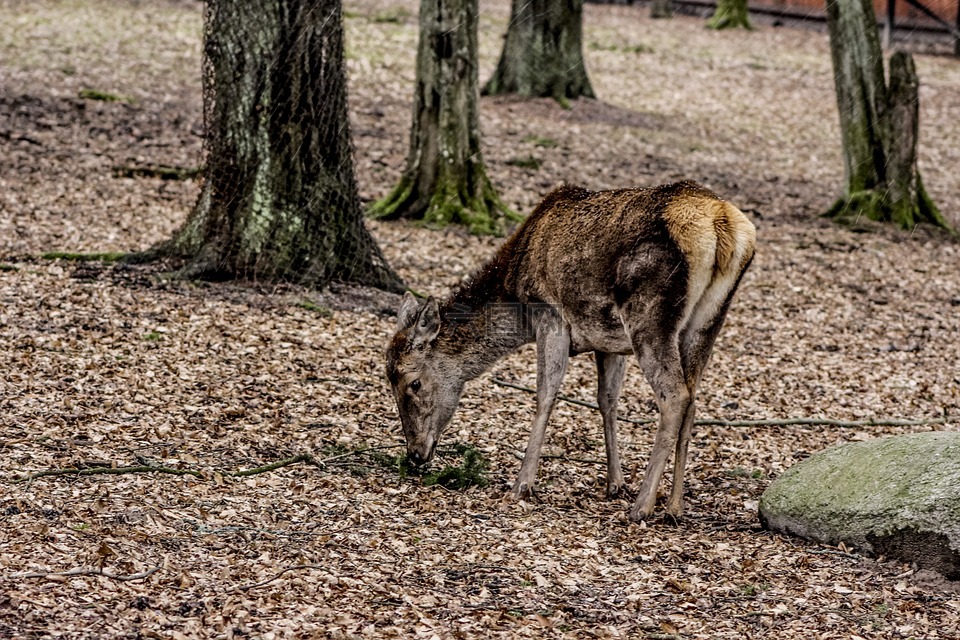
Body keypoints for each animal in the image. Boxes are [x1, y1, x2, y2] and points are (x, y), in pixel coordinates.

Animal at [385, 181, 756, 521]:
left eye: (413, 383)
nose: (415, 454)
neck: (514, 294)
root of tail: (722, 222)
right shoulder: (609, 342)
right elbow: (607, 401)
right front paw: (614, 483)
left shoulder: (549, 313)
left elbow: (546, 394)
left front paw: (522, 484)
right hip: (708, 320)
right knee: (693, 398)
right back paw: (675, 506)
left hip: (649, 315)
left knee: (675, 395)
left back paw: (642, 506)